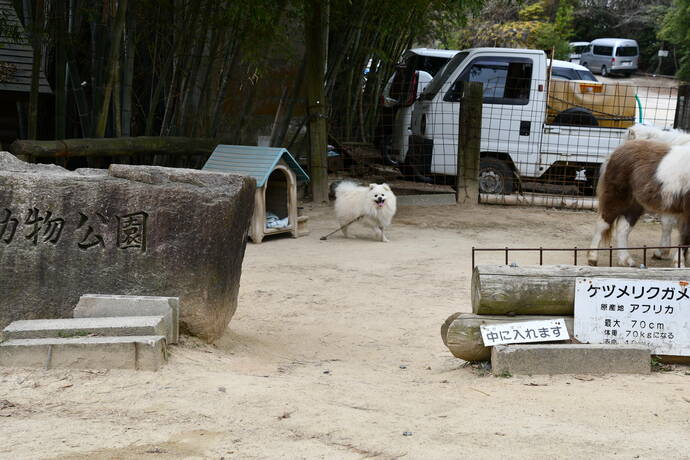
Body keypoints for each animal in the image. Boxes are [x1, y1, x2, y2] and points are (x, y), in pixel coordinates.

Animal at [584, 138, 688, 266]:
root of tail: (615, 152)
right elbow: (685, 235)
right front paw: (679, 263)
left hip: (635, 204)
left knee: (623, 228)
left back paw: (625, 260)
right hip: (617, 199)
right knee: (603, 224)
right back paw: (593, 258)